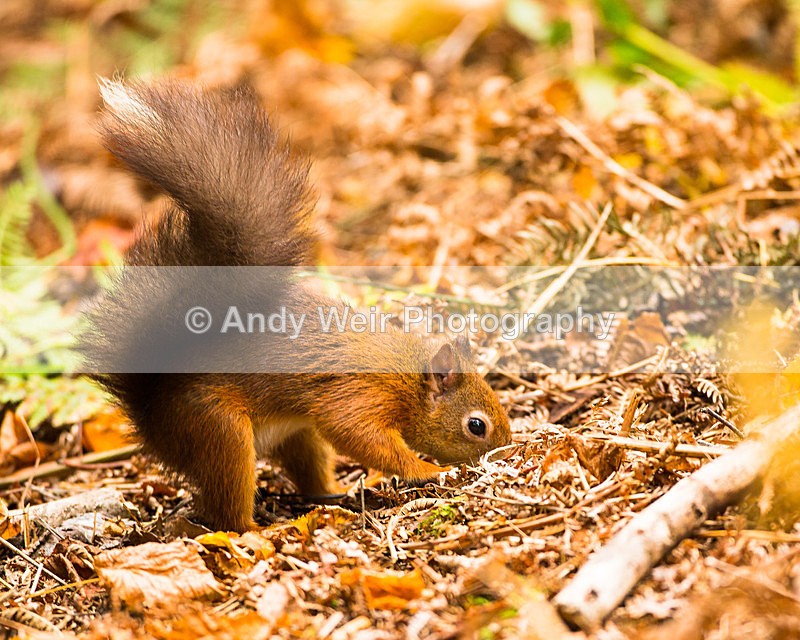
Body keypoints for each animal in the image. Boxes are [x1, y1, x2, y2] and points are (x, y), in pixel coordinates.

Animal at [83, 79, 511, 533]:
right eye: (476, 426)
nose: (506, 452)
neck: (409, 378)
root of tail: (153, 416)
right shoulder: (361, 393)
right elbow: (358, 434)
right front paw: (426, 470)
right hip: (219, 430)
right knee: (227, 512)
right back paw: (263, 528)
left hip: (297, 434)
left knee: (308, 472)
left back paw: (333, 493)